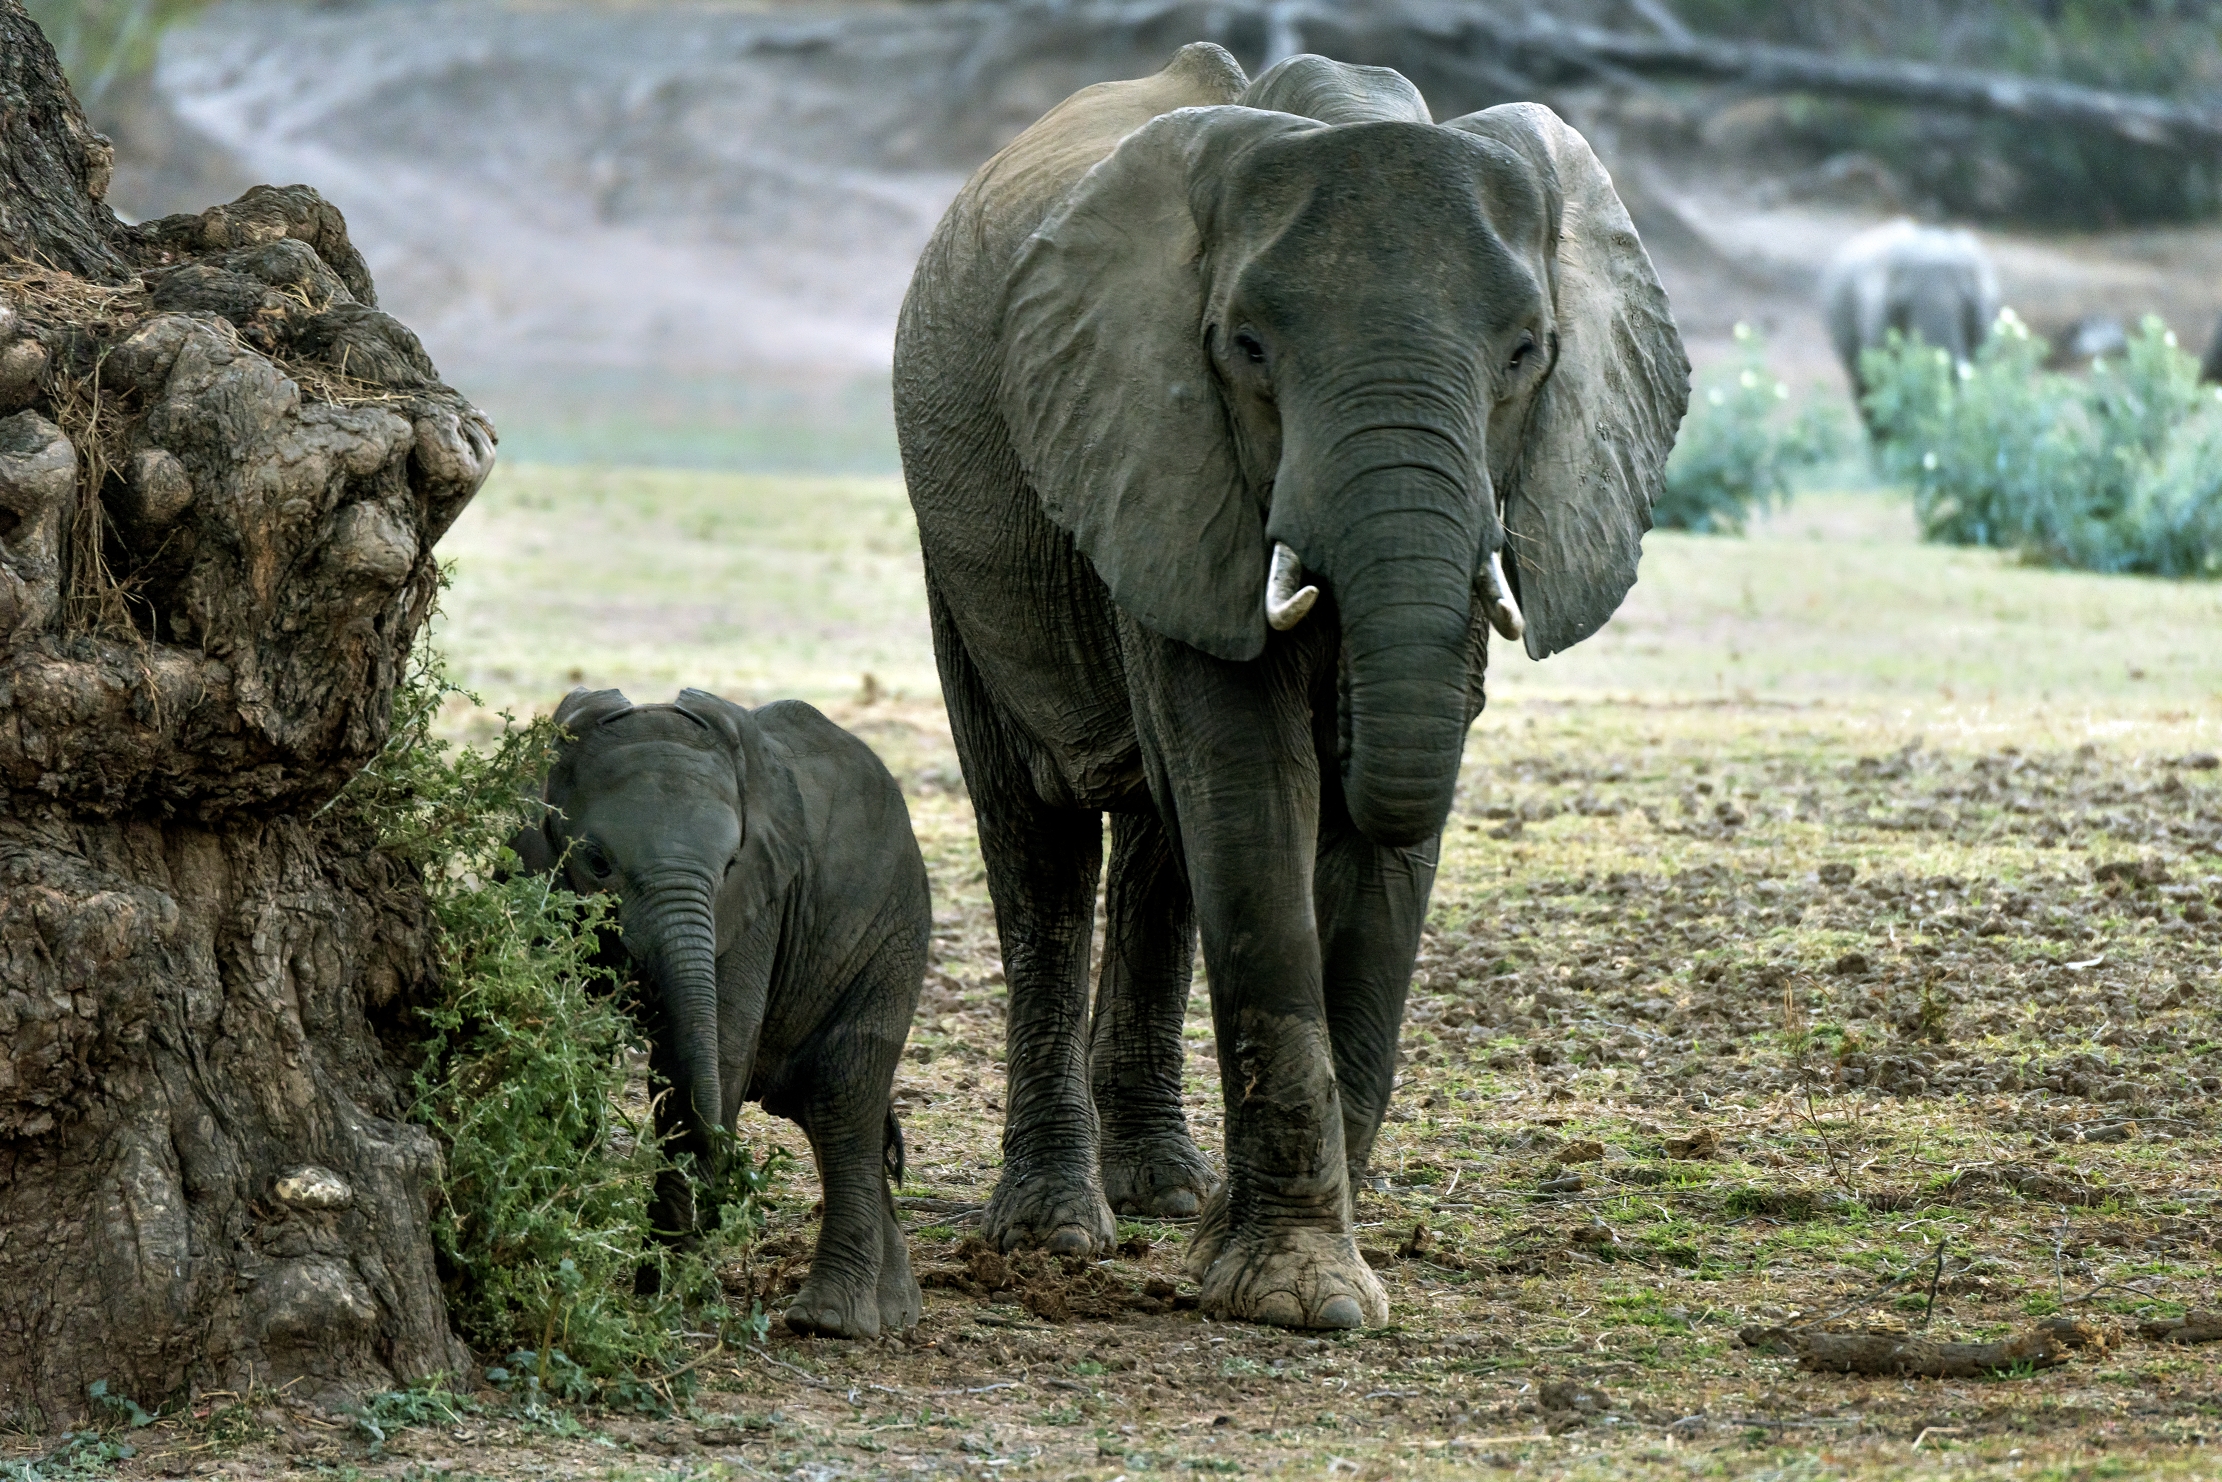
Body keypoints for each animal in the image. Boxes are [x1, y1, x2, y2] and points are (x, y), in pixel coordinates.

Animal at [508, 687, 931, 1339]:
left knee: (842, 1090)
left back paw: (828, 1321)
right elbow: (567, 1033)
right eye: (597, 862)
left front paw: (667, 1296)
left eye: (730, 863)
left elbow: (718, 1048)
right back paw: (891, 1312)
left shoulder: (758, 902)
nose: (735, 1175)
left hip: (892, 932)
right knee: (815, 1100)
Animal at [892, 45, 1688, 1329]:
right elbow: (1242, 773)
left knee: (1160, 847)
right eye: (1247, 349)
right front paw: (1294, 1295)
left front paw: (1275, 1257)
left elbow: (1364, 803)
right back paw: (1057, 1230)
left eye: (1527, 352)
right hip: (960, 542)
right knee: (1041, 837)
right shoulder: (1156, 442)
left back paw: (1164, 1193)